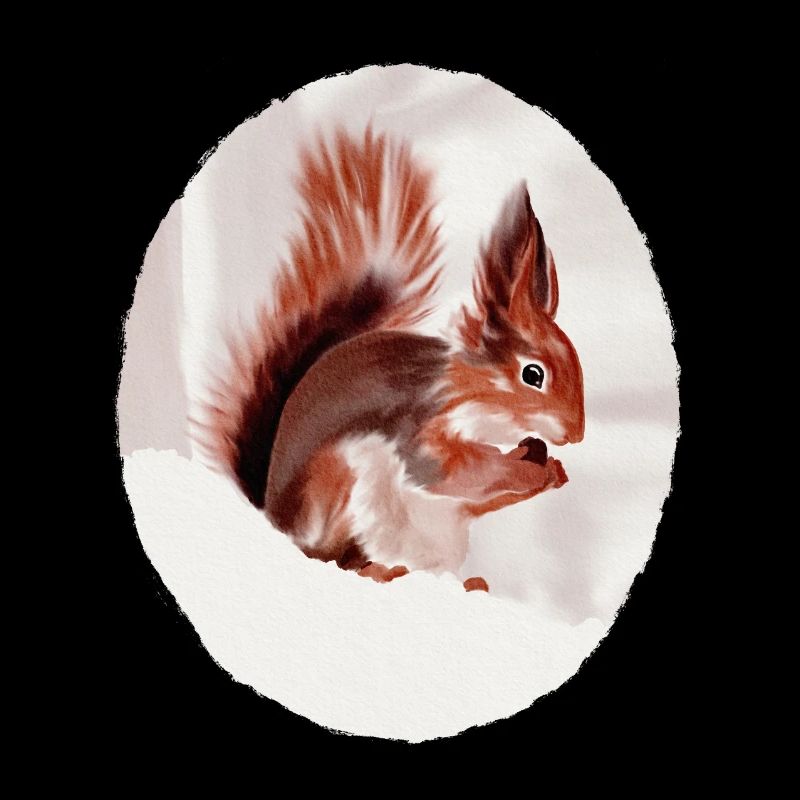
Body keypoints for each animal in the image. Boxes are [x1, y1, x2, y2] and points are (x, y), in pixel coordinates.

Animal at [193, 126, 585, 593]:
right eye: (532, 374)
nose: (575, 434)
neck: (467, 396)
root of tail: (274, 520)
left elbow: (479, 493)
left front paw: (547, 465)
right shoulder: (416, 431)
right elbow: (456, 474)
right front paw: (531, 471)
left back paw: (469, 584)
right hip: (340, 487)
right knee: (334, 560)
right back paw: (381, 572)